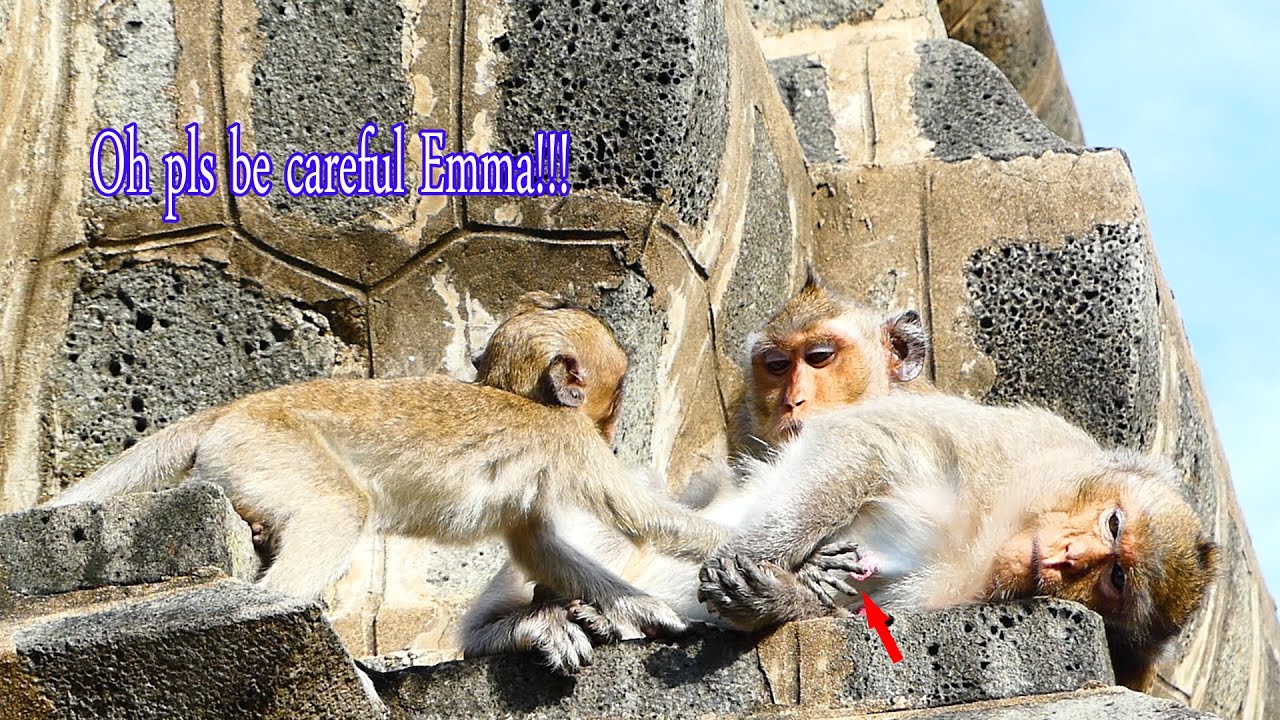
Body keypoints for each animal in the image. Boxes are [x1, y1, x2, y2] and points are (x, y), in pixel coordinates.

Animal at [46, 292, 728, 638]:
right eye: (616, 392)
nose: (611, 430)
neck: (521, 395)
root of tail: (237, 408)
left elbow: (539, 548)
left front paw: (644, 608)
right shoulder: (569, 442)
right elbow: (642, 519)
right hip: (268, 448)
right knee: (338, 508)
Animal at [460, 273, 933, 672]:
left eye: (820, 357)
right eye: (776, 365)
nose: (791, 400)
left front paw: (777, 594)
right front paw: (802, 571)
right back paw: (520, 627)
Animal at [694, 392, 1217, 691]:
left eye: (1115, 579)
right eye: (1113, 524)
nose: (1067, 557)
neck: (990, 538)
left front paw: (776, 598)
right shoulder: (1020, 443)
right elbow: (870, 441)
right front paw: (757, 552)